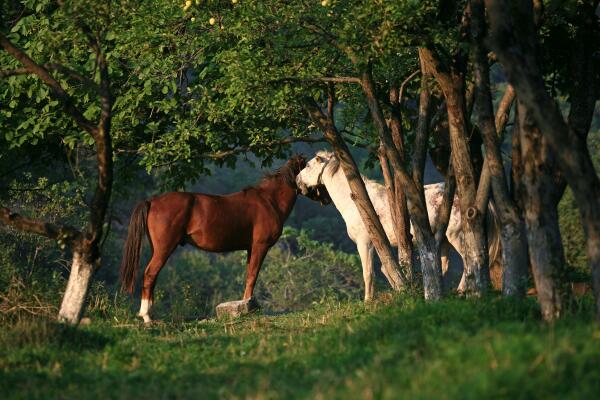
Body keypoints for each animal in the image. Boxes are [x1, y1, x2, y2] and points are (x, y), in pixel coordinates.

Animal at [118, 155, 304, 322]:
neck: (269, 201)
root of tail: (153, 201)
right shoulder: (260, 246)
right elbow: (253, 275)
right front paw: (248, 306)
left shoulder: (250, 248)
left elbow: (248, 275)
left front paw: (245, 304)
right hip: (164, 248)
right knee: (150, 274)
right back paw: (146, 316)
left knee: (153, 276)